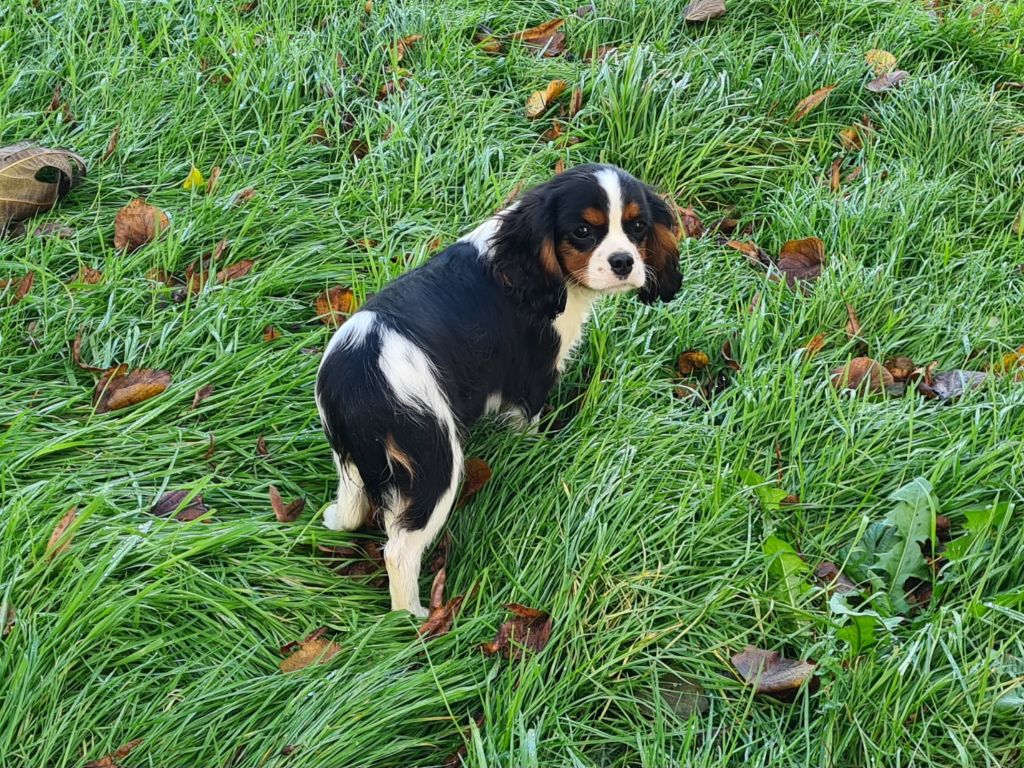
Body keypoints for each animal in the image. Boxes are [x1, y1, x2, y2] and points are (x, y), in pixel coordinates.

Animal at [311, 165, 679, 618]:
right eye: (582, 231)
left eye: (637, 227)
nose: (624, 262)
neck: (525, 263)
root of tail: (357, 371)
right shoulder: (530, 380)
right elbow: (529, 425)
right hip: (435, 460)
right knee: (399, 550)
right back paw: (414, 618)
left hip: (350, 456)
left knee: (351, 503)